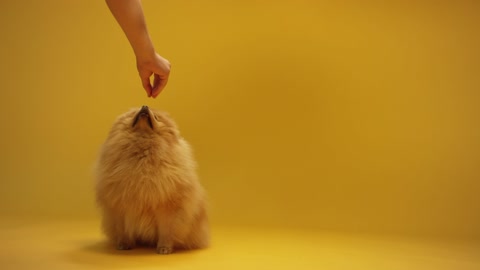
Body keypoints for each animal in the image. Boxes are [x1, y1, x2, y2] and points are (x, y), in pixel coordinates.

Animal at [95, 105, 208, 253]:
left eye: (156, 117)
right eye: (133, 113)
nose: (144, 106)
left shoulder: (167, 207)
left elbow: (166, 230)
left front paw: (164, 248)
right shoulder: (120, 205)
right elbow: (123, 229)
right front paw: (124, 244)